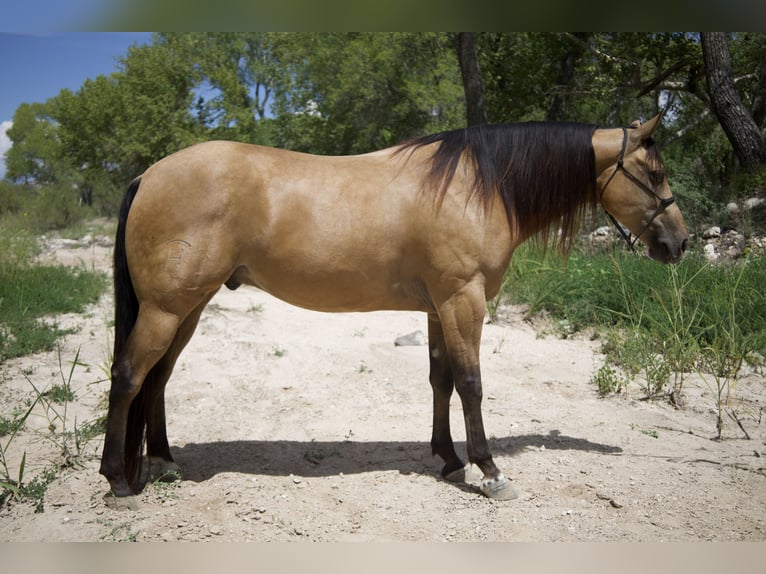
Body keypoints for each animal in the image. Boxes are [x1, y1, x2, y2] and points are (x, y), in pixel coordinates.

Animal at [99, 114, 688, 508]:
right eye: (655, 173)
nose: (679, 243)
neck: (479, 185)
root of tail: (149, 176)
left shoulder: (437, 307)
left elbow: (441, 381)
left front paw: (448, 459)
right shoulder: (463, 299)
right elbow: (471, 383)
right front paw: (489, 470)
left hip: (188, 307)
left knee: (158, 379)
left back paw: (164, 463)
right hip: (166, 308)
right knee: (129, 377)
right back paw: (118, 480)